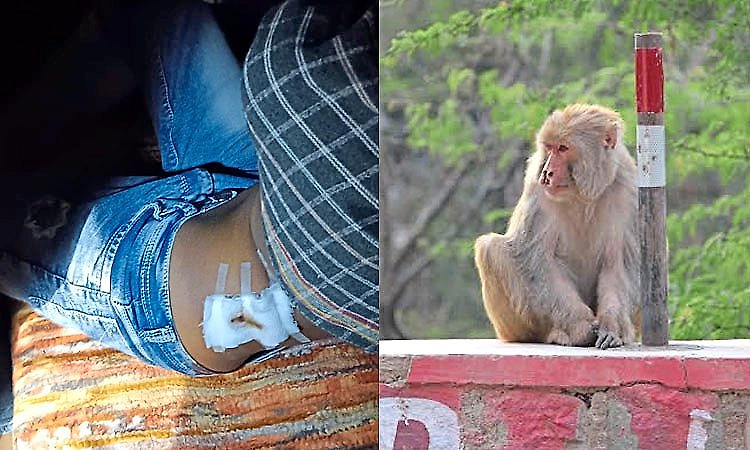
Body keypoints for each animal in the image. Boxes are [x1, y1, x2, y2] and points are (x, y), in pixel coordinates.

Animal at [475, 104, 639, 349]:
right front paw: (582, 327)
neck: (584, 193)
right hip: (513, 327)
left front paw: (611, 327)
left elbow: (619, 264)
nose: (547, 173)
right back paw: (556, 333)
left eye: (563, 148)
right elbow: (537, 259)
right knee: (490, 247)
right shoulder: (536, 187)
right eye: (549, 148)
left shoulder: (632, 191)